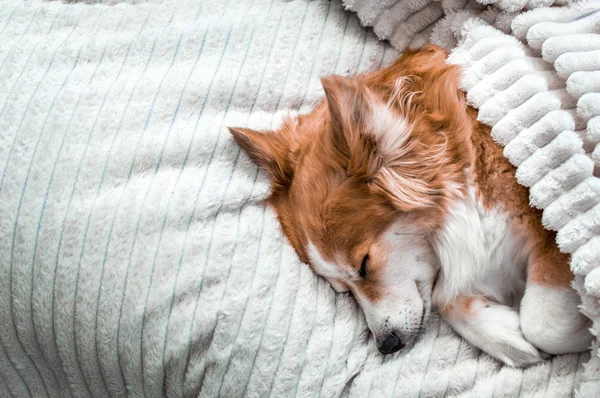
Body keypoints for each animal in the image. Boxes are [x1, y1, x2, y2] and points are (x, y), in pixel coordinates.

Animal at [229, 45, 592, 366]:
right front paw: (503, 335)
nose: (386, 345)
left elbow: (542, 322)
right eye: (341, 289)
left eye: (364, 265)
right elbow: (445, 297)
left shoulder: (554, 222)